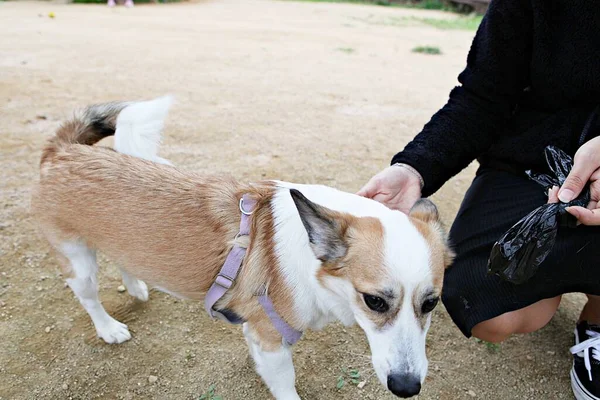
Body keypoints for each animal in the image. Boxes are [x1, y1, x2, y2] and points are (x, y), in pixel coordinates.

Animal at [32, 97, 452, 400]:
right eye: (374, 301)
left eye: (431, 303)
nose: (407, 388)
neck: (308, 252)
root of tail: (62, 150)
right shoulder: (272, 342)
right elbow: (286, 387)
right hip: (78, 262)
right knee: (88, 297)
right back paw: (108, 329)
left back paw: (136, 287)